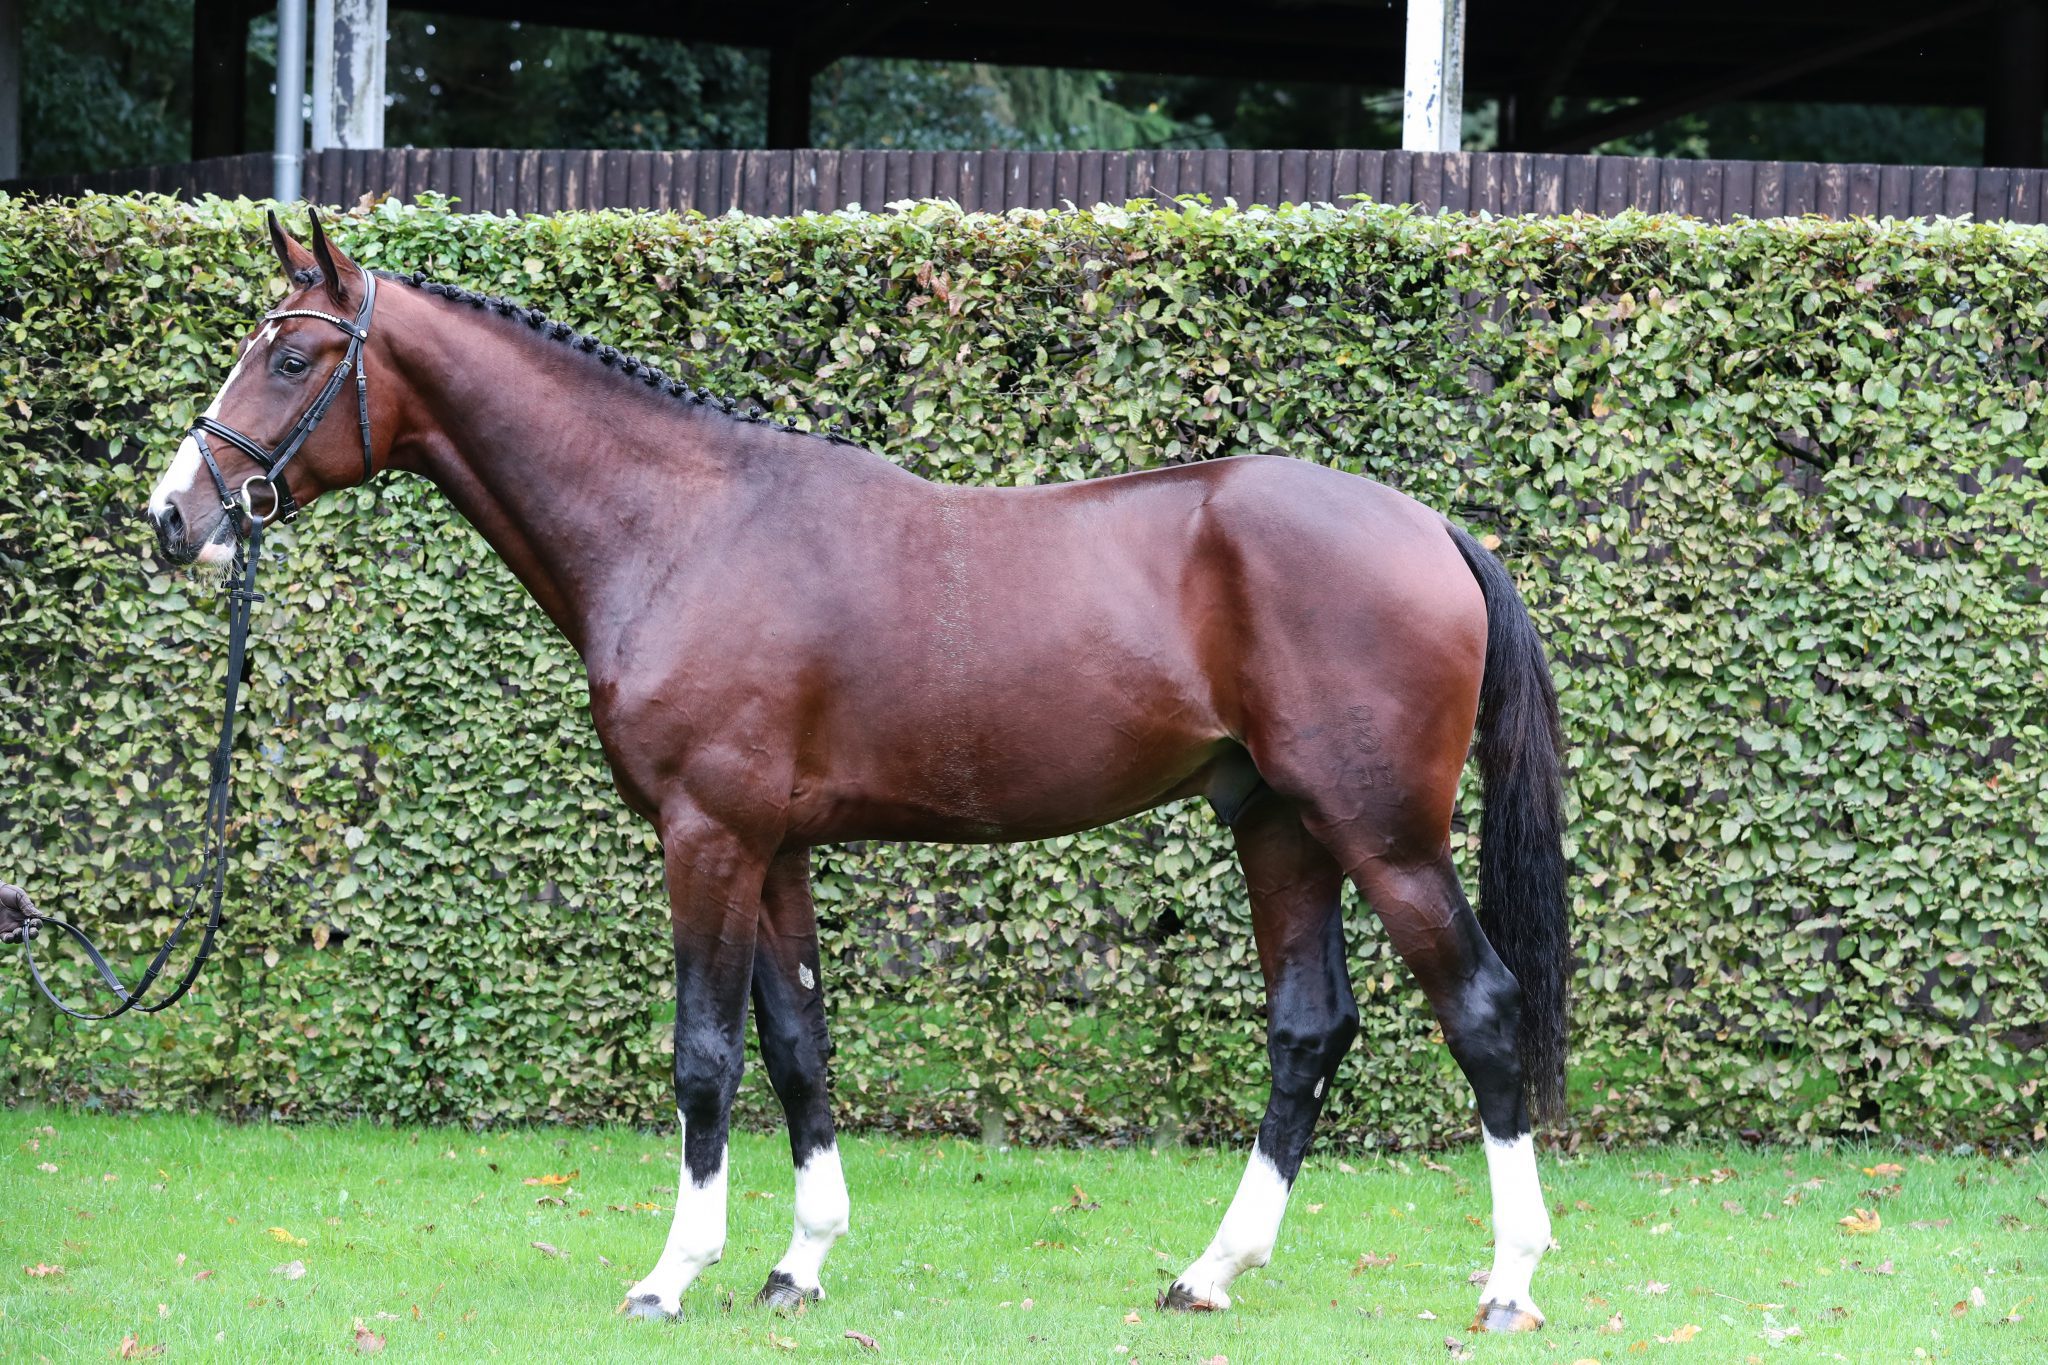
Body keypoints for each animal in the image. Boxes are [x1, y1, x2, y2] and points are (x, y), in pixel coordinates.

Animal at [142, 211, 1569, 1333]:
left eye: (291, 355)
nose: (173, 518)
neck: (685, 525)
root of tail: (1432, 530)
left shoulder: (706, 836)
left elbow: (705, 1054)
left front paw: (672, 1273)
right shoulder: (774, 848)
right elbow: (796, 1046)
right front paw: (797, 1265)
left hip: (1381, 837)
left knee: (1483, 1011)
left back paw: (1507, 1284)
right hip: (1276, 824)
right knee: (1307, 1027)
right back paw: (1210, 1273)